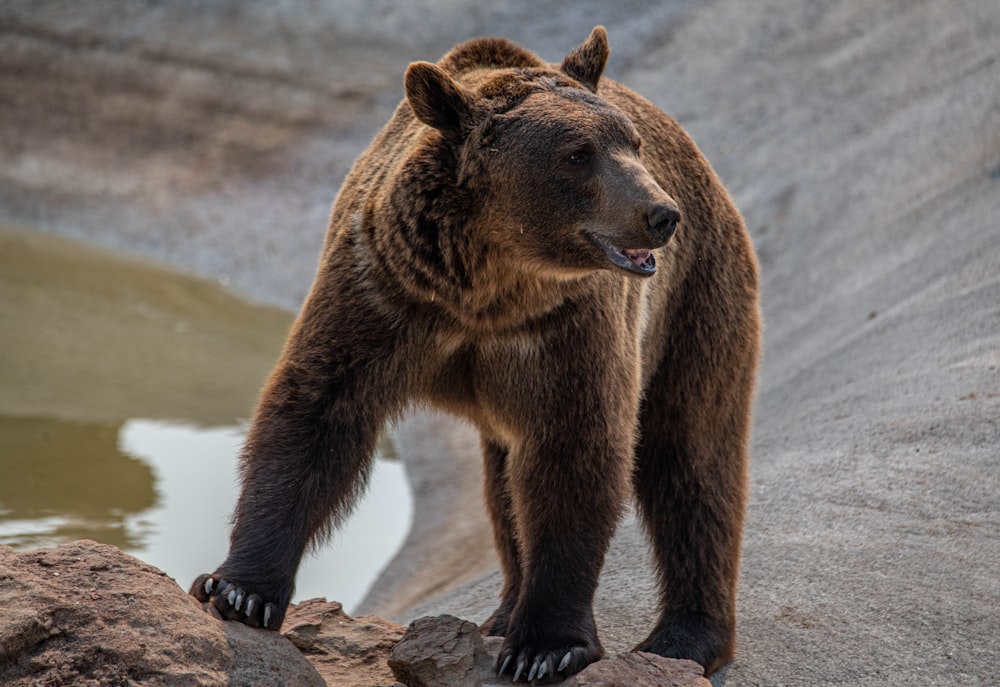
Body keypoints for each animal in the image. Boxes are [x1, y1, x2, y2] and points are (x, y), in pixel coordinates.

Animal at [191, 25, 760, 684]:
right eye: (577, 153)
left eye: (631, 143)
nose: (660, 215)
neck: (488, 287)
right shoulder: (384, 292)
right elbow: (315, 414)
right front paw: (239, 590)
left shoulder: (568, 328)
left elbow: (577, 451)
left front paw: (546, 647)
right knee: (510, 483)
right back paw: (504, 610)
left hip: (696, 299)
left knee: (691, 457)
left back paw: (683, 637)